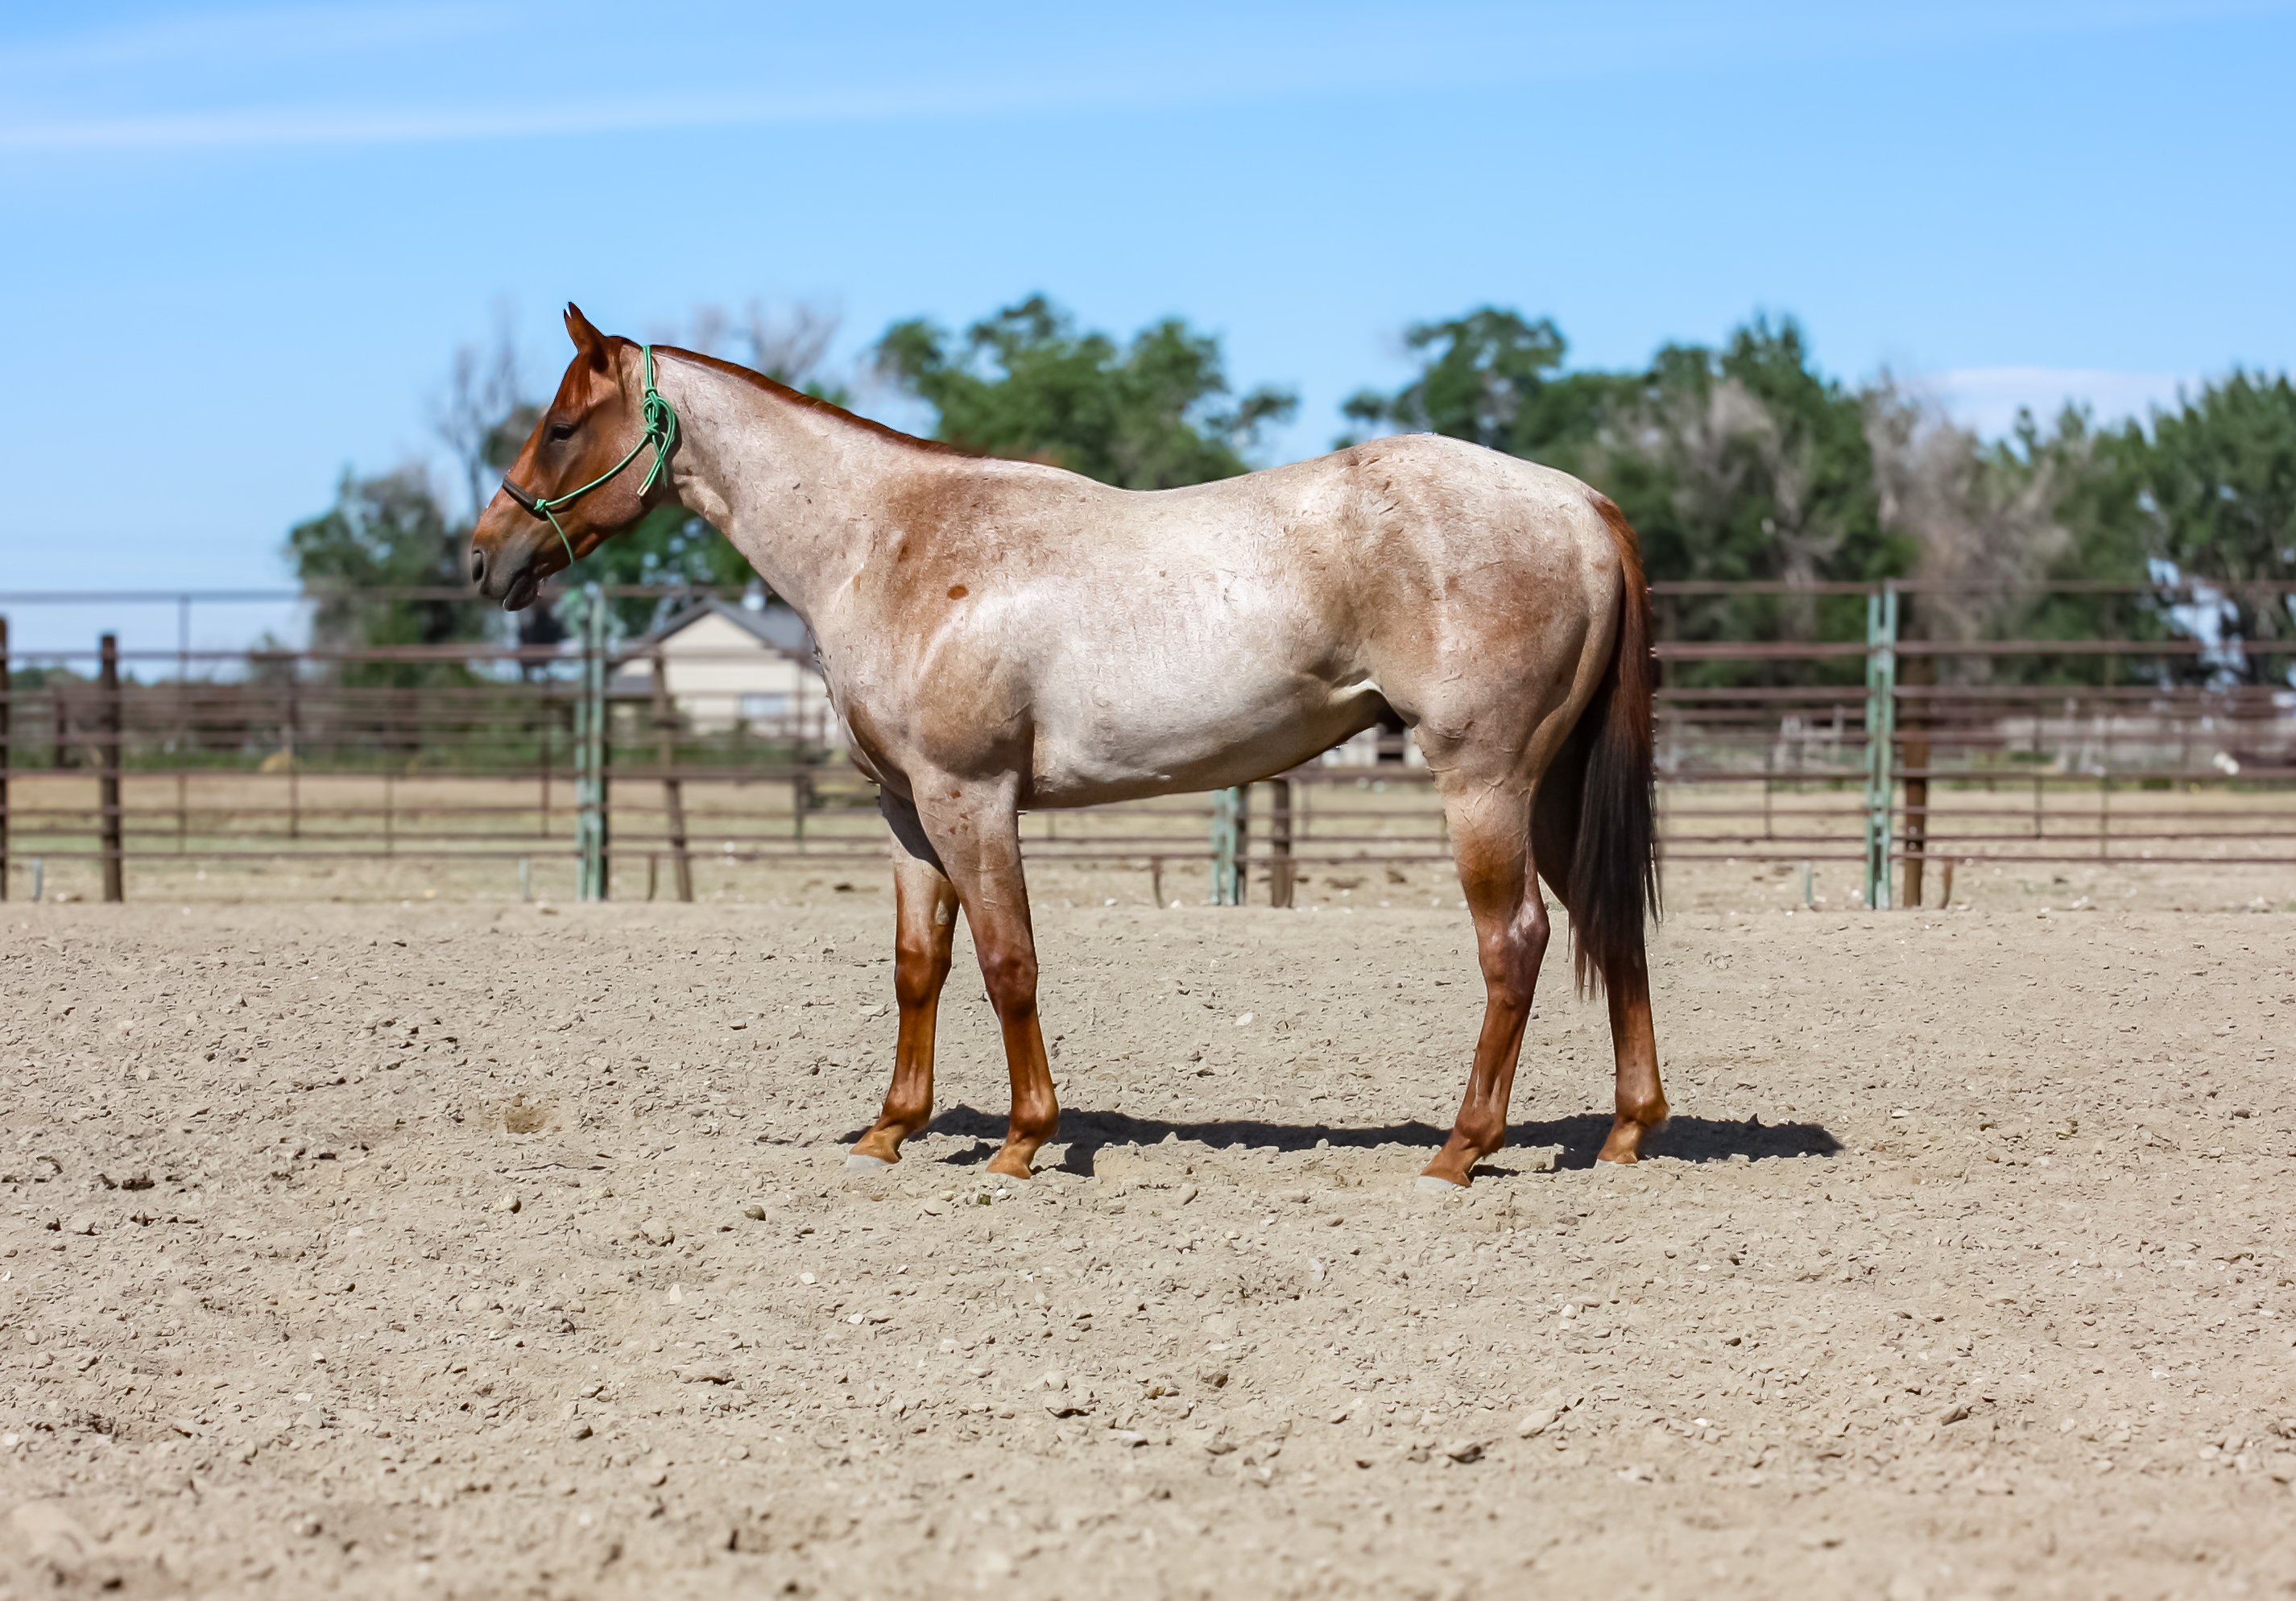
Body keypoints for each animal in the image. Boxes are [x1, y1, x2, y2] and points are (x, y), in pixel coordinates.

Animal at [468, 305, 1665, 1190]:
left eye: (563, 426)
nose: (486, 558)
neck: (890, 542)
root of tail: (1580, 505)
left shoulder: (971, 799)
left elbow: (1008, 963)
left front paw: (1019, 1142)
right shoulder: (906, 813)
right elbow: (918, 967)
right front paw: (888, 1130)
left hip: (1483, 782)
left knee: (1513, 942)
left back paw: (1460, 1150)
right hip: (1550, 790)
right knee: (1609, 928)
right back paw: (1626, 1130)